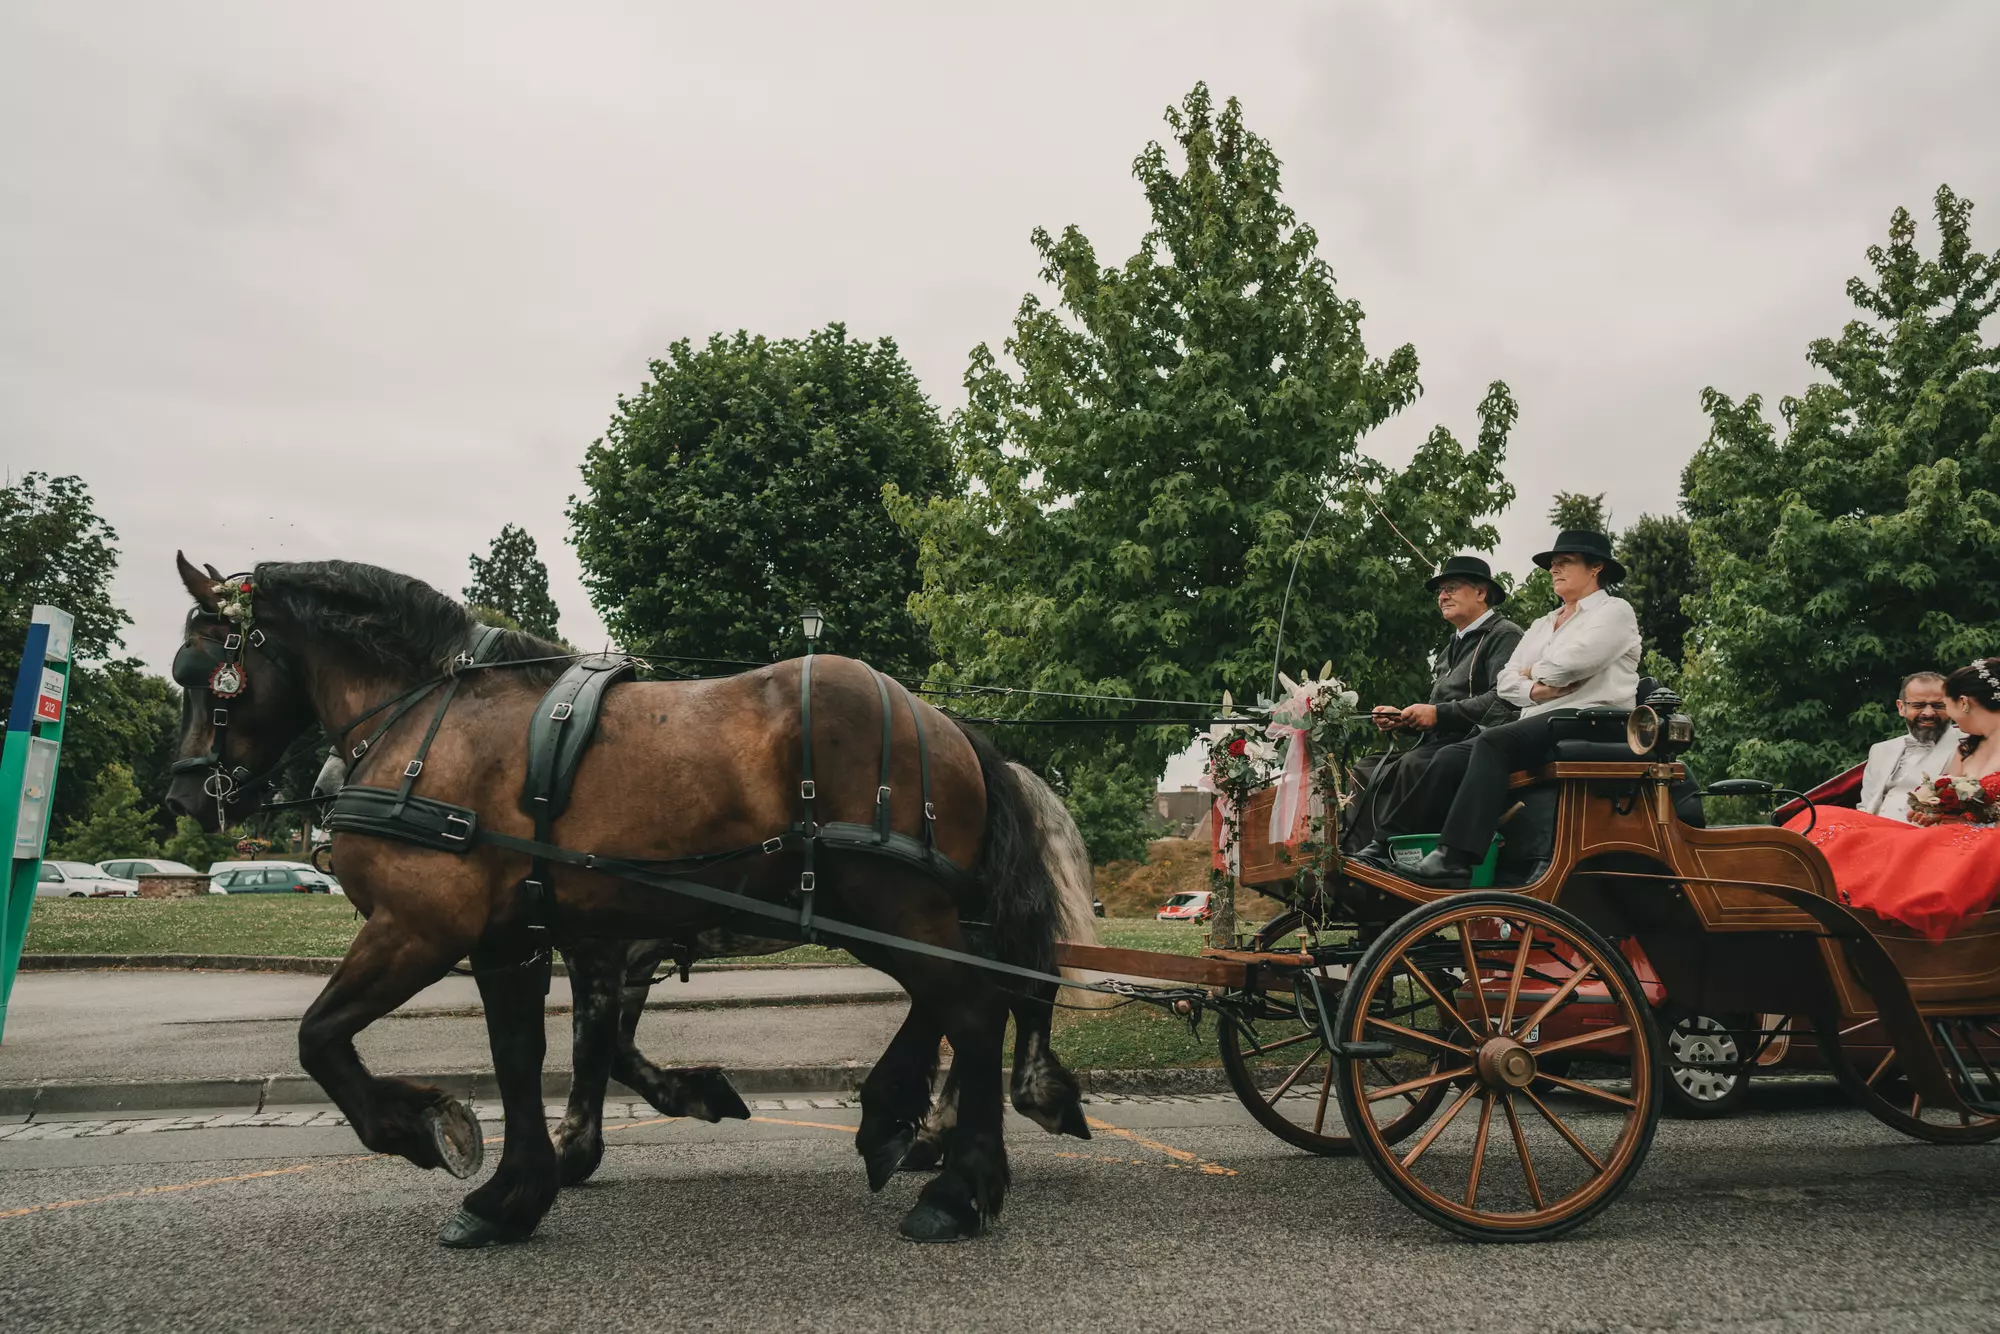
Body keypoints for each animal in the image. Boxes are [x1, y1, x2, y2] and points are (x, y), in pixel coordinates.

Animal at [164, 552, 1088, 1240]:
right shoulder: (518, 938)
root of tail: (945, 723)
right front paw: (519, 1191)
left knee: (975, 1009)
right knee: (963, 1003)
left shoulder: (421, 924)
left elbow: (321, 1037)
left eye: (203, 674)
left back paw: (958, 1188)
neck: (433, 721)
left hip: (887, 902)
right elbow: (531, 1054)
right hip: (895, 910)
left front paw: (423, 1128)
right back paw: (912, 1128)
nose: (183, 796)